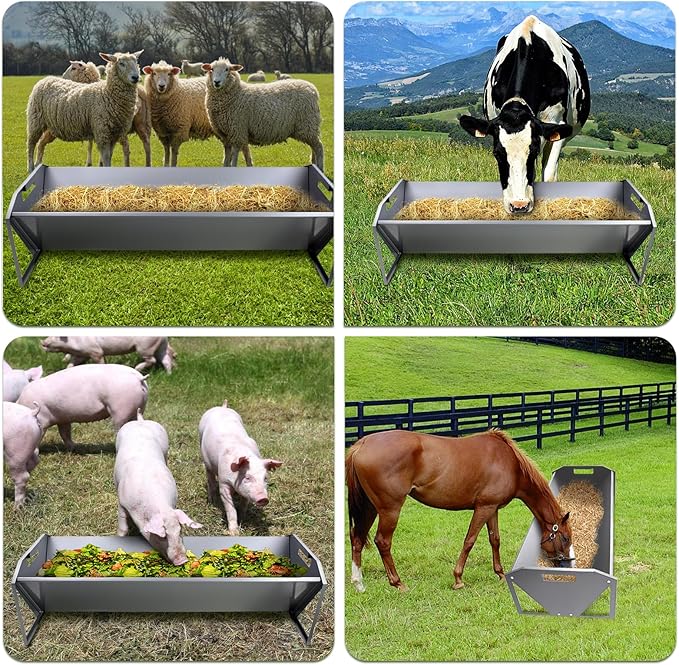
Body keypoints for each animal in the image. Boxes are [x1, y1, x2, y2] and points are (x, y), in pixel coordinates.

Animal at [346, 428, 574, 592]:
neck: (510, 463)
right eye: (565, 538)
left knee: (357, 539)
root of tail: (361, 445)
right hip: (389, 509)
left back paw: (359, 584)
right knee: (382, 542)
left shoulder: (492, 509)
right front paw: (458, 579)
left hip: (369, 507)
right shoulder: (483, 508)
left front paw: (500, 574)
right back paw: (398, 583)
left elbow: (495, 540)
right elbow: (469, 541)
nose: (565, 567)